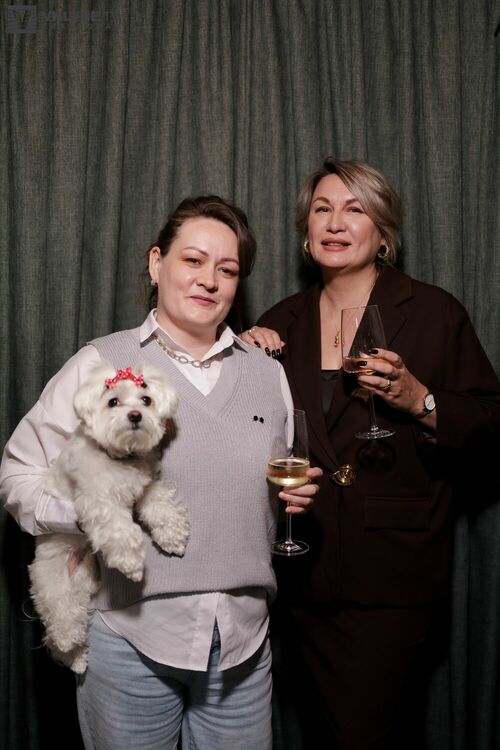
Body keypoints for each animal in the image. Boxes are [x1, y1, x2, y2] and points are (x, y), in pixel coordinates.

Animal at [29, 362, 189, 673]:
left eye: (146, 400)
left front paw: (172, 535)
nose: (135, 415)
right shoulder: (98, 501)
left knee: (78, 617)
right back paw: (68, 645)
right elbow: (120, 530)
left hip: (84, 584)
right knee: (61, 621)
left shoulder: (146, 487)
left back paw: (78, 658)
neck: (120, 457)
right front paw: (132, 564)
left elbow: (160, 506)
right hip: (54, 582)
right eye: (113, 401)